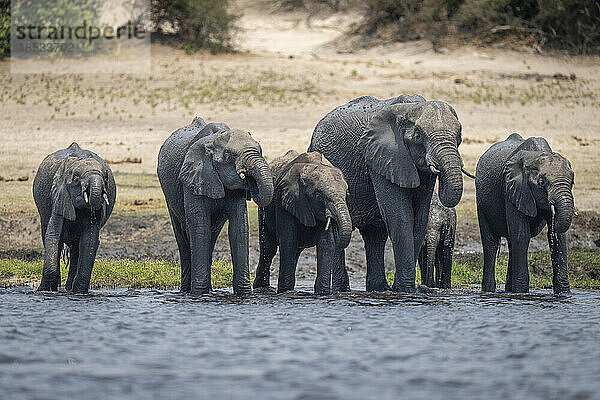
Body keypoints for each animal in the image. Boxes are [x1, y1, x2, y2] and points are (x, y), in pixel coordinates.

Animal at [32, 142, 116, 292]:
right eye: (76, 179)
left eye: (106, 178)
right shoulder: (59, 193)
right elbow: (53, 235)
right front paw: (44, 291)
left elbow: (89, 240)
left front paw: (80, 292)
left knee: (77, 249)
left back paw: (69, 289)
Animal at [157, 117, 274, 296]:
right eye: (229, 155)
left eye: (260, 150)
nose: (251, 183)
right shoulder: (194, 178)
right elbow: (200, 229)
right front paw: (199, 293)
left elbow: (239, 228)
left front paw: (244, 294)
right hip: (169, 195)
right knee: (183, 237)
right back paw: (185, 291)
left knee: (212, 237)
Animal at [252, 150, 352, 294]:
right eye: (319, 196)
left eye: (346, 194)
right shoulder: (283, 198)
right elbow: (288, 239)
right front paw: (285, 291)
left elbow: (326, 242)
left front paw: (322, 293)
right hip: (263, 208)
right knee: (269, 248)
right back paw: (262, 288)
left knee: (295, 251)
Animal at [310, 95, 474, 292]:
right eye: (418, 135)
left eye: (459, 135)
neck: (410, 107)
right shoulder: (382, 158)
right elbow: (400, 216)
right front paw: (405, 290)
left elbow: (419, 217)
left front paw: (406, 289)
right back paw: (343, 290)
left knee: (376, 234)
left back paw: (379, 288)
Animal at [476, 134, 576, 294]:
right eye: (541, 182)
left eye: (572, 182)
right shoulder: (512, 189)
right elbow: (522, 235)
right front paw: (521, 292)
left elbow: (559, 238)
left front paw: (563, 294)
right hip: (481, 201)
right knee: (491, 244)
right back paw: (489, 291)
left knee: (511, 243)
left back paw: (508, 290)